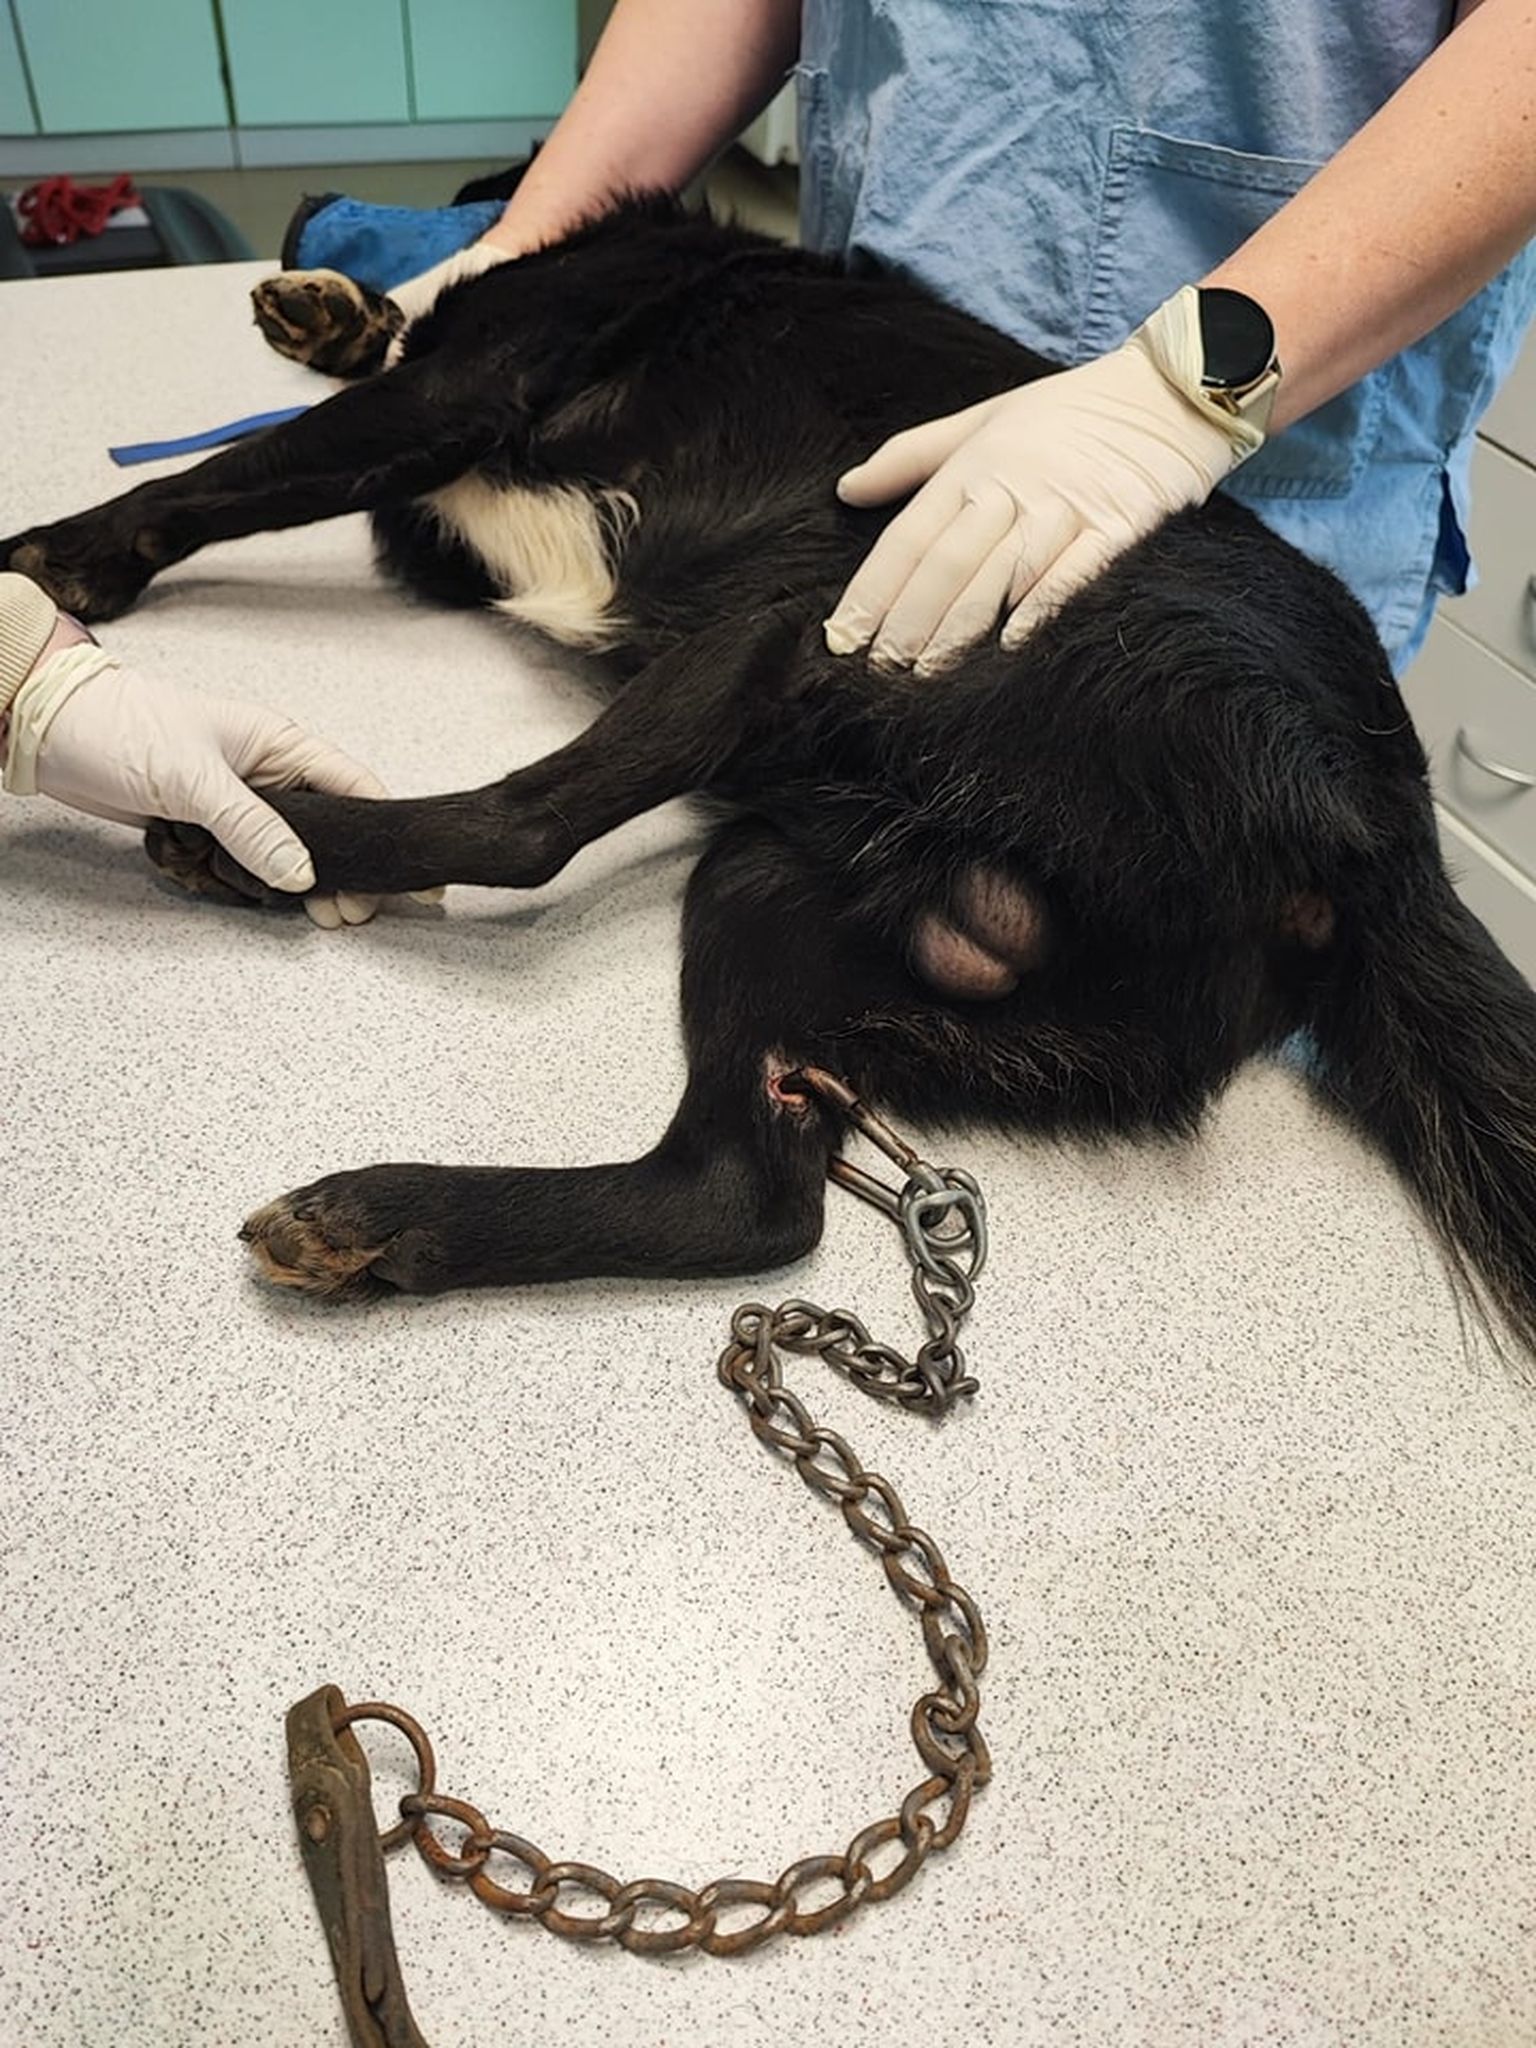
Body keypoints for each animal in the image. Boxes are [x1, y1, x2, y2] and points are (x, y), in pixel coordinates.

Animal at [6, 196, 1536, 1359]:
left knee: (521, 827)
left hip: (822, 624)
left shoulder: (452, 397)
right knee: (741, 1198)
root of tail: (1385, 830)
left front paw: (55, 560)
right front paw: (326, 316)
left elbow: (223, 476)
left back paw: (259, 840)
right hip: (798, 888)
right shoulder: (441, 523)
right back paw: (391, 1221)